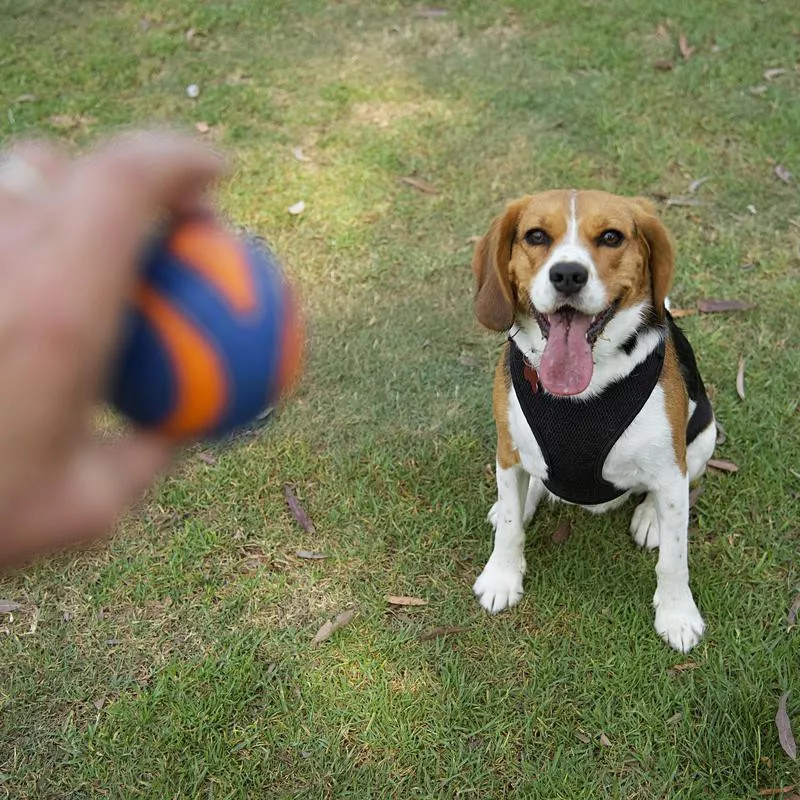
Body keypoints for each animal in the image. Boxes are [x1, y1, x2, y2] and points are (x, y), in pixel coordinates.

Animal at [472, 191, 716, 652]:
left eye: (611, 237)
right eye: (536, 236)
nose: (568, 275)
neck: (583, 391)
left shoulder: (670, 467)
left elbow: (674, 559)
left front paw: (678, 615)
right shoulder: (508, 451)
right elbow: (510, 528)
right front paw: (502, 577)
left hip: (705, 436)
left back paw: (650, 519)